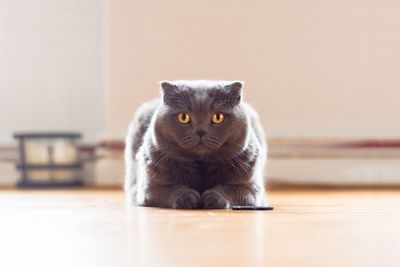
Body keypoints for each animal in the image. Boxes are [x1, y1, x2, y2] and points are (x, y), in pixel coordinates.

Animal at [124, 80, 268, 210]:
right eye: (183, 117)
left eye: (218, 117)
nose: (200, 131)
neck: (201, 166)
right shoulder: (150, 188)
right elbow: (173, 189)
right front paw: (188, 198)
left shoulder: (250, 188)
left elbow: (231, 190)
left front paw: (213, 198)